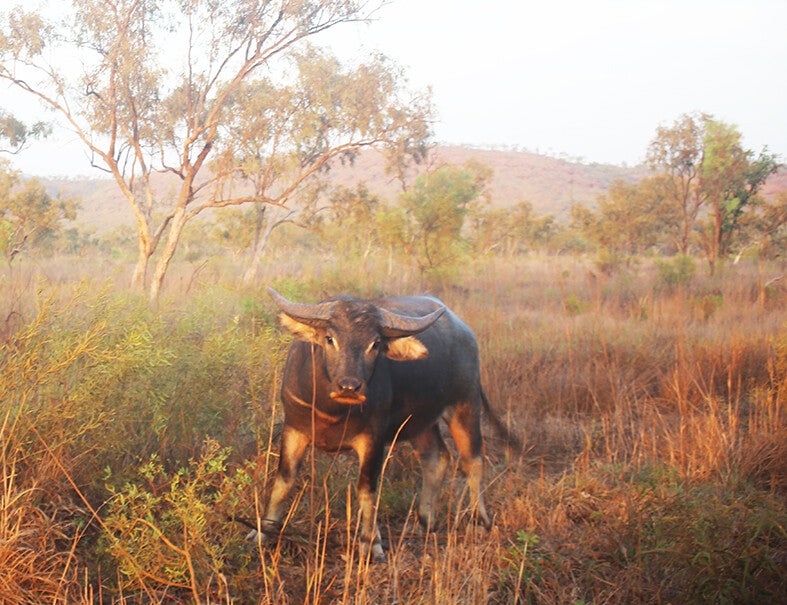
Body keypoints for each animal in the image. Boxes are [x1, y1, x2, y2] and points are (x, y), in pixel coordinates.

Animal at [249, 288, 504, 562]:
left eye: (375, 344)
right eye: (330, 339)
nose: (349, 386)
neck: (334, 411)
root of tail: (465, 333)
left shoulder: (373, 438)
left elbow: (366, 489)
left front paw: (371, 543)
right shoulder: (294, 430)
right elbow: (283, 480)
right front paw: (263, 531)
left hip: (465, 405)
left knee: (473, 461)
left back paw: (480, 522)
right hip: (419, 423)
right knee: (436, 458)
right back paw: (424, 521)